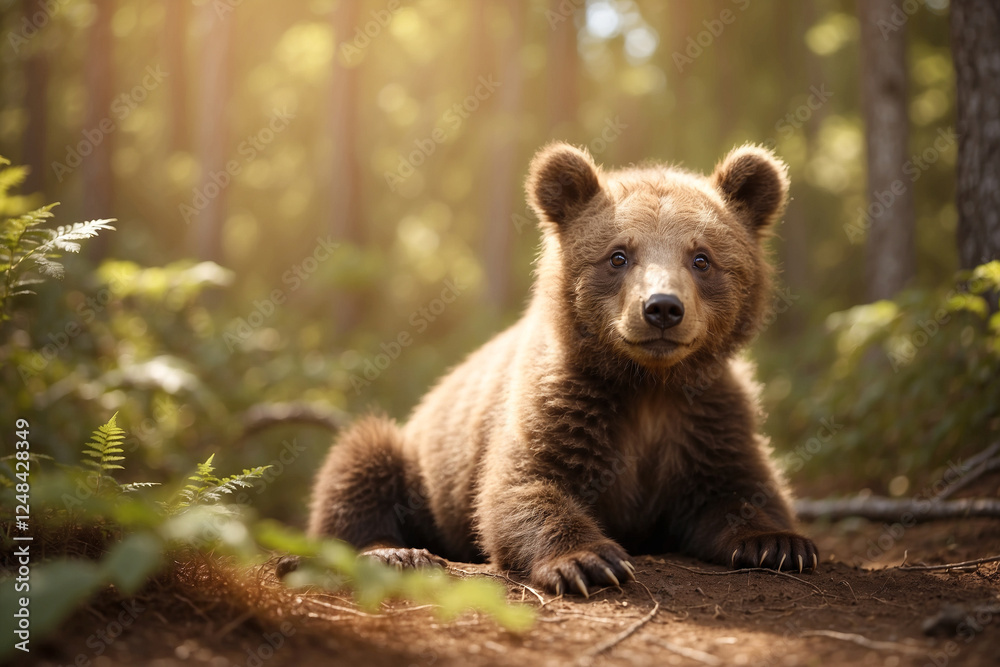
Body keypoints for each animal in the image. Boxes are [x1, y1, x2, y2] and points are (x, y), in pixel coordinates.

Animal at [307, 142, 818, 596]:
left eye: (702, 258)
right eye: (618, 254)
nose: (662, 308)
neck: (647, 383)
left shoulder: (706, 416)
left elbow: (740, 487)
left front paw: (779, 544)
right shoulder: (561, 400)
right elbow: (523, 485)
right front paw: (589, 560)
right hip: (417, 458)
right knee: (361, 458)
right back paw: (393, 550)